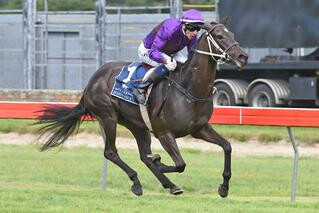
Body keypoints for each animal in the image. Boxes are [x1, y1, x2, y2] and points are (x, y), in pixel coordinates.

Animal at [36, 20, 249, 197]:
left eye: (233, 35)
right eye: (220, 36)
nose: (243, 56)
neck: (188, 89)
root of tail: (91, 82)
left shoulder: (199, 129)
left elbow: (227, 146)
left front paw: (224, 187)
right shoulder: (164, 133)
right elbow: (180, 164)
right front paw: (160, 162)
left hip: (137, 125)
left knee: (143, 155)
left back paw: (170, 185)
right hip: (107, 116)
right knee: (111, 152)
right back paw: (137, 182)